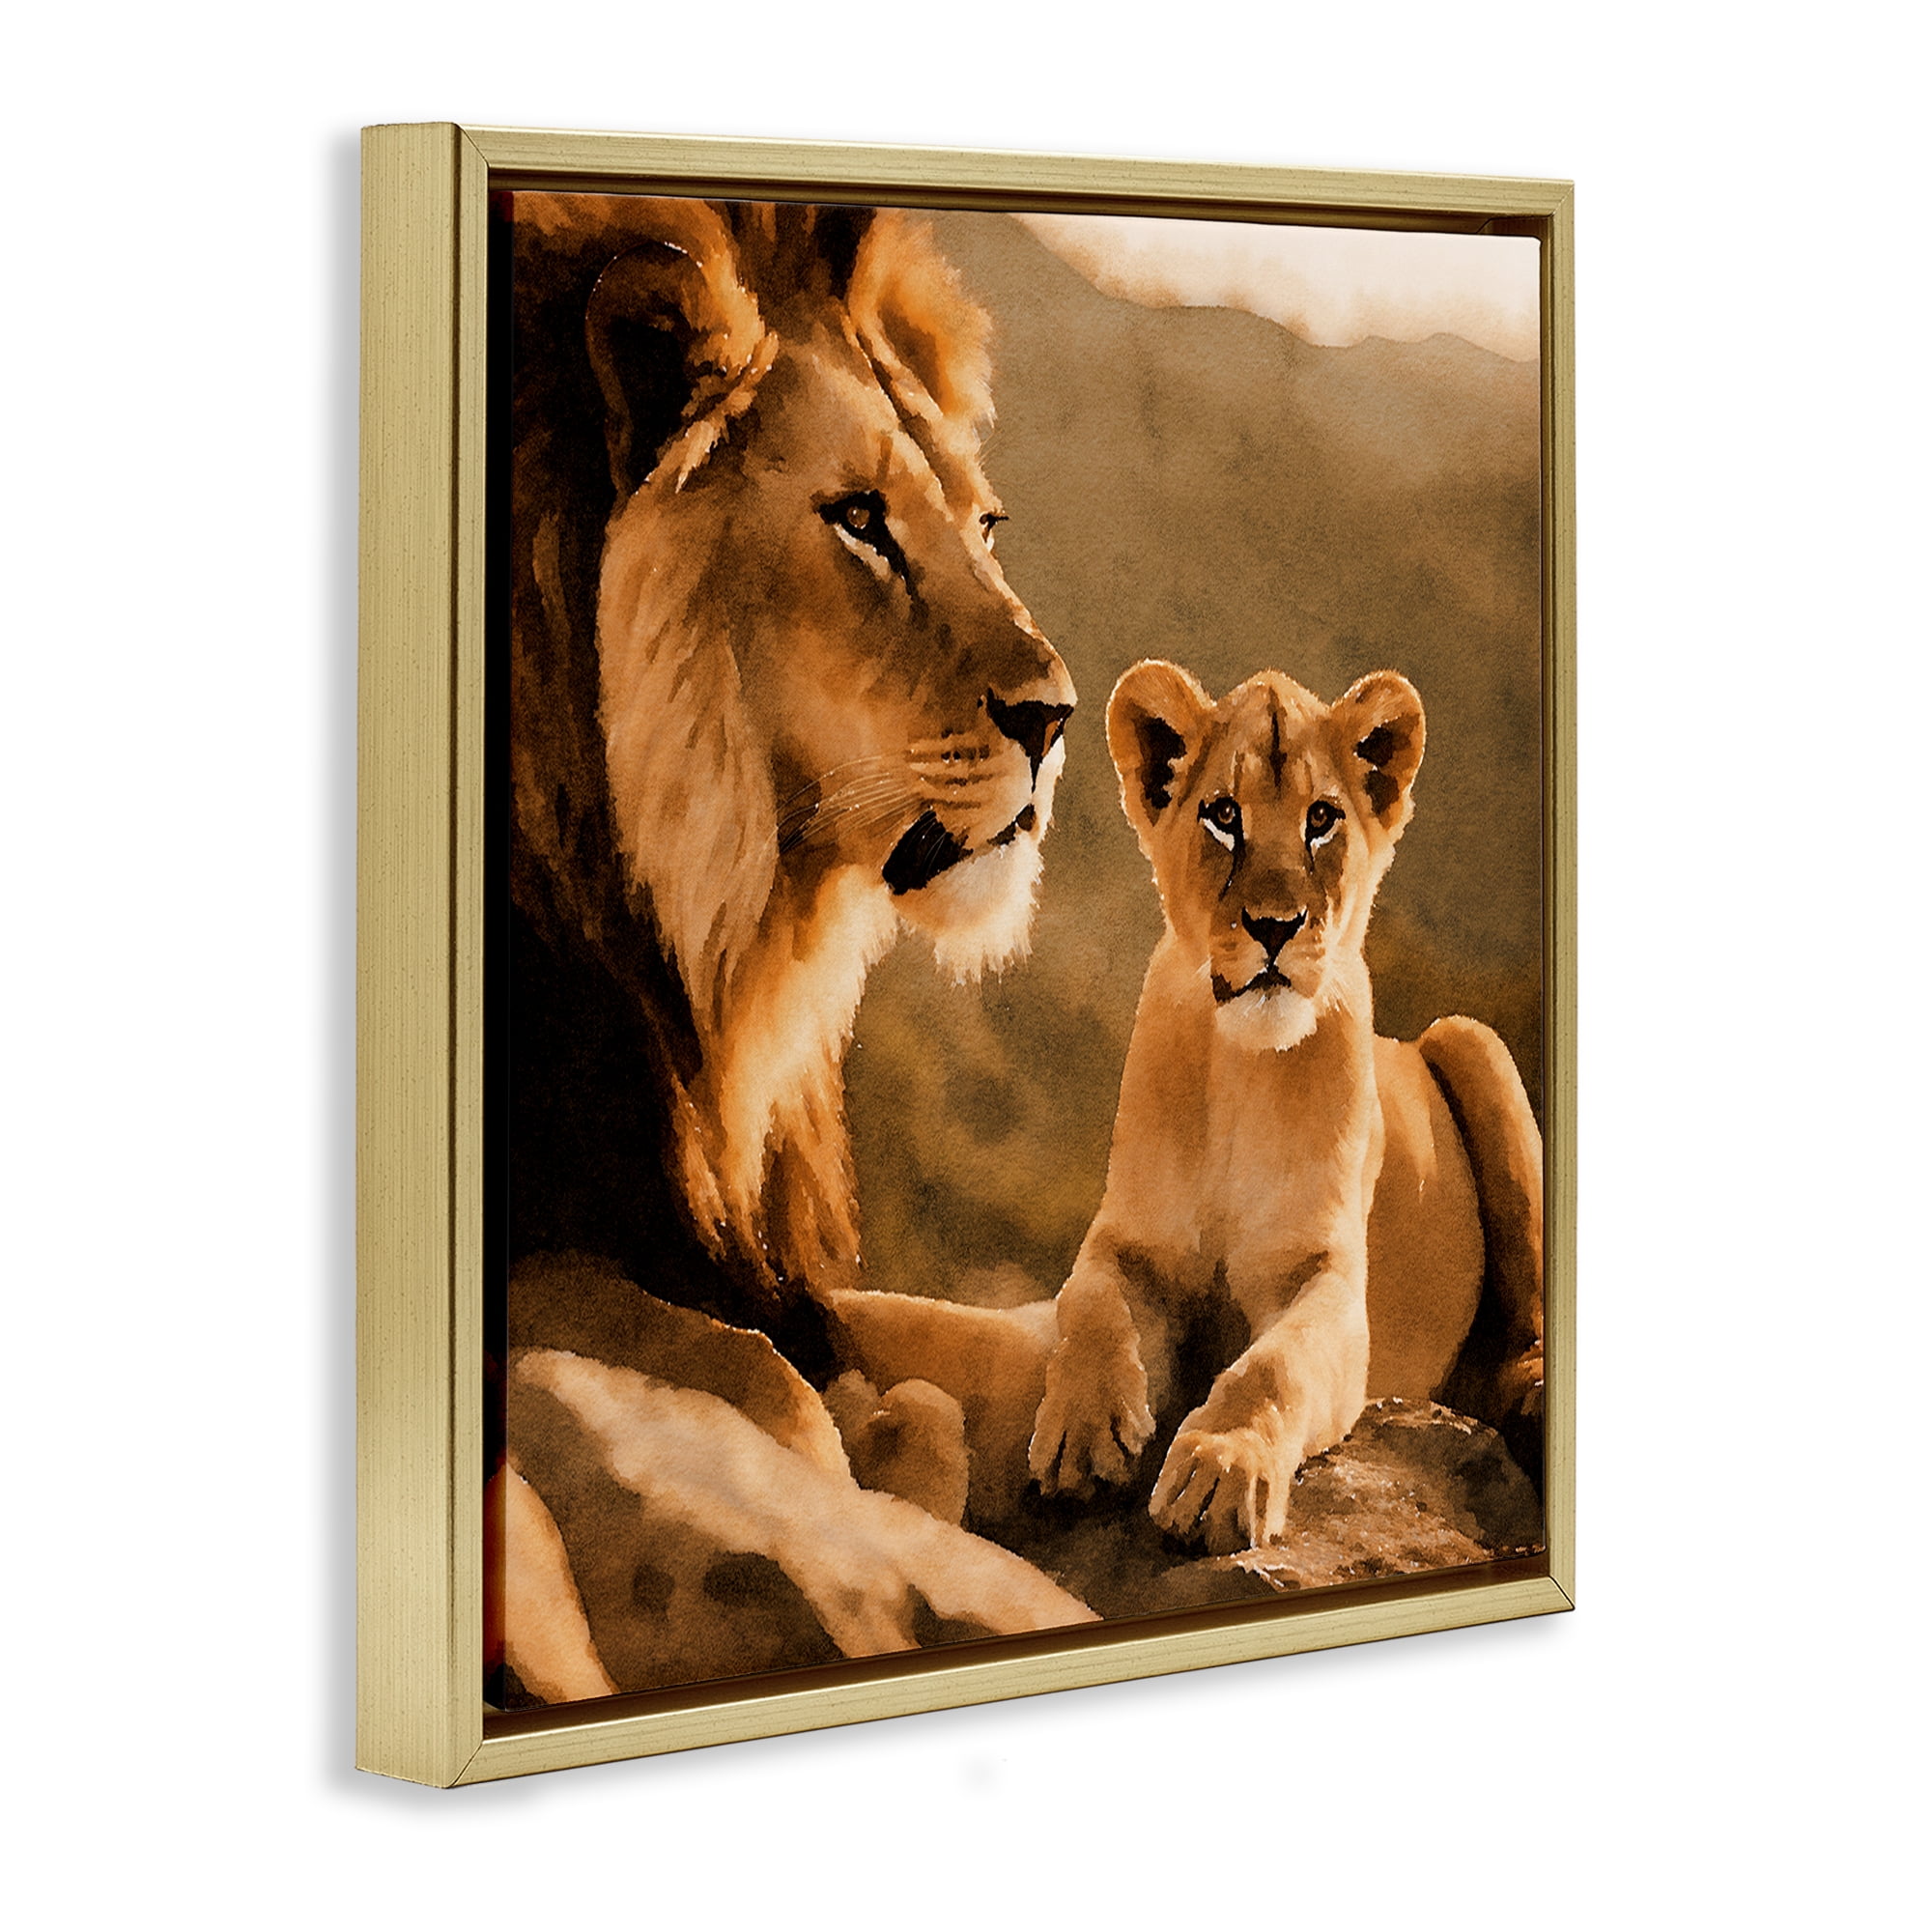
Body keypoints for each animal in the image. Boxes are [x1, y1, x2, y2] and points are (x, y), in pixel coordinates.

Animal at [497, 195, 1084, 1698]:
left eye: (983, 522)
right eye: (860, 520)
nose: (1057, 716)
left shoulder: (749, 1255)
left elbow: (992, 1341)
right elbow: (778, 1395)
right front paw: (880, 1466)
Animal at [1026, 660, 1544, 1554]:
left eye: (1322, 819)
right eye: (1223, 816)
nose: (1275, 925)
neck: (1245, 1071)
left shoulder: (1328, 1282)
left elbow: (1270, 1367)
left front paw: (1219, 1470)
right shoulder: (1128, 1240)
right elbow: (1089, 1305)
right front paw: (1082, 1431)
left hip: (1473, 1040)